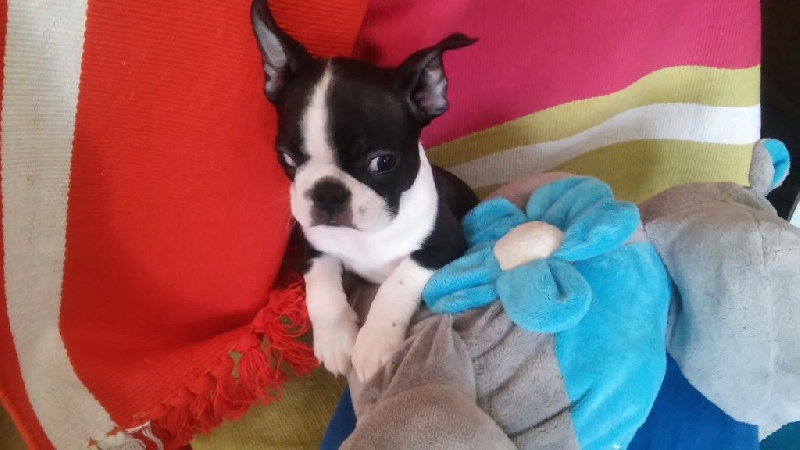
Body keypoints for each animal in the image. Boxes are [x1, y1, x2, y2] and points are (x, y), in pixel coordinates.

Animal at [251, 0, 478, 382]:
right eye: (287, 158)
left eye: (382, 162)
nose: (327, 193)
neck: (365, 237)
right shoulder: (313, 247)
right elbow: (321, 288)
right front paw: (336, 340)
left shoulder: (445, 243)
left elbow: (396, 282)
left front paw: (374, 342)